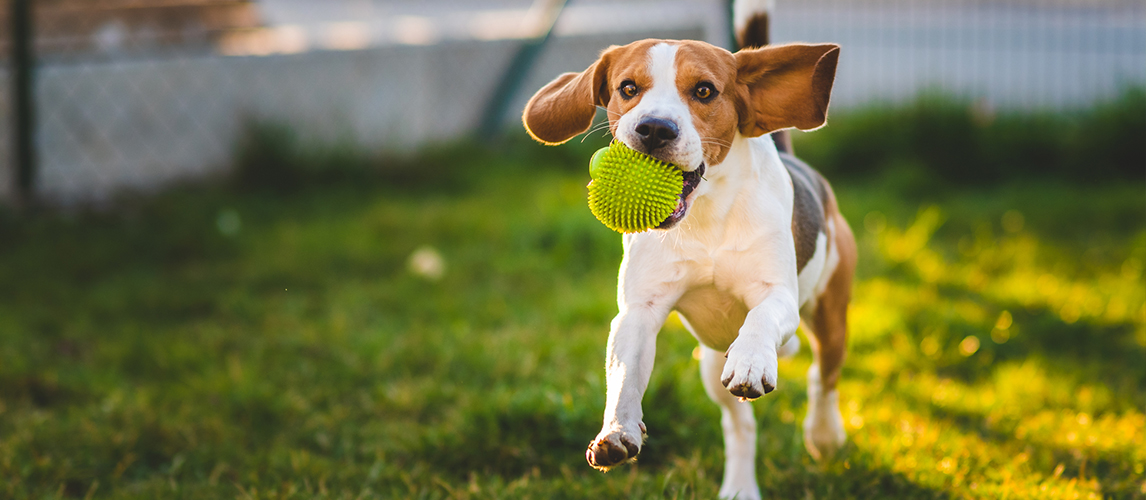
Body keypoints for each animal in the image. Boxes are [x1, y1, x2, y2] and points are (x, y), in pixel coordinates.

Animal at [520, 4, 852, 499]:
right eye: (628, 88)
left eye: (704, 91)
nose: (655, 128)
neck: (705, 217)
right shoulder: (638, 313)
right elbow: (624, 374)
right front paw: (617, 430)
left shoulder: (777, 295)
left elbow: (761, 318)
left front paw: (753, 360)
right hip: (711, 361)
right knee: (740, 425)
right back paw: (739, 486)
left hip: (830, 314)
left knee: (822, 379)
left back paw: (824, 435)